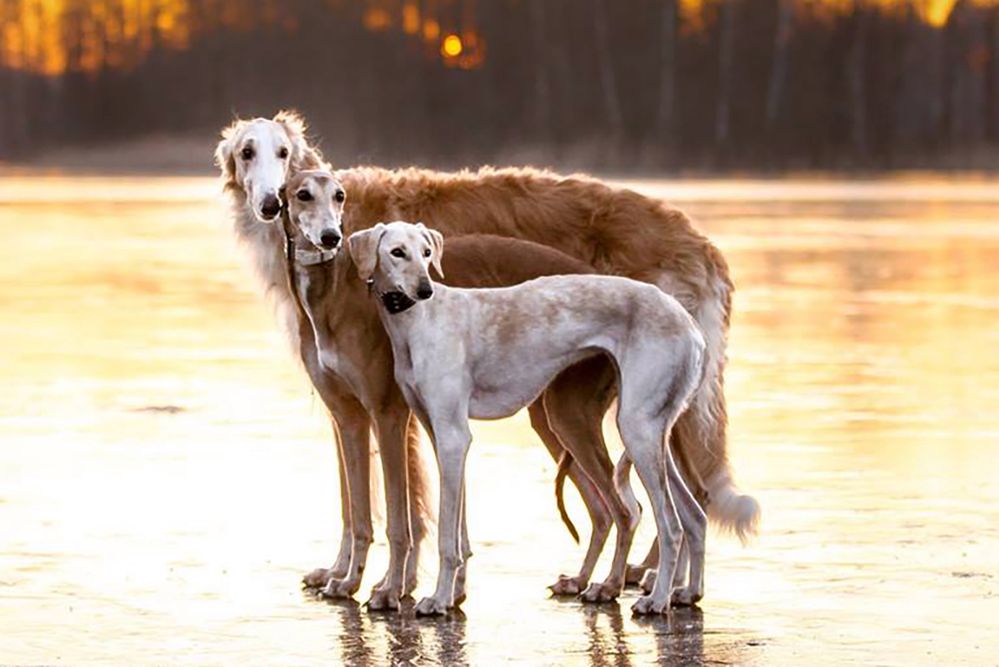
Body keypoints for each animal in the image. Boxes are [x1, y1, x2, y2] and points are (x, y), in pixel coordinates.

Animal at [352, 222, 712, 620]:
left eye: (426, 252)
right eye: (397, 252)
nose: (425, 290)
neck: (420, 322)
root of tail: (691, 326)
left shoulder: (452, 437)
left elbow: (448, 535)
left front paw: (438, 599)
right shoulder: (441, 435)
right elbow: (460, 530)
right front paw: (455, 594)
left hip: (635, 429)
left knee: (669, 525)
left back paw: (657, 599)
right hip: (649, 433)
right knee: (693, 516)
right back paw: (686, 592)